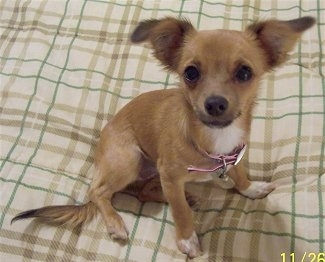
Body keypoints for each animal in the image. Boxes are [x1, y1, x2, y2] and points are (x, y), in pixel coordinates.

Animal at [12, 15, 314, 258]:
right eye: (190, 73)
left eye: (244, 72)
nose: (215, 104)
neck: (213, 139)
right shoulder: (169, 174)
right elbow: (180, 212)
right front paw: (187, 240)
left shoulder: (236, 154)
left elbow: (239, 175)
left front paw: (250, 188)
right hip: (130, 159)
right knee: (98, 191)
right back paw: (115, 222)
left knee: (144, 192)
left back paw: (185, 196)